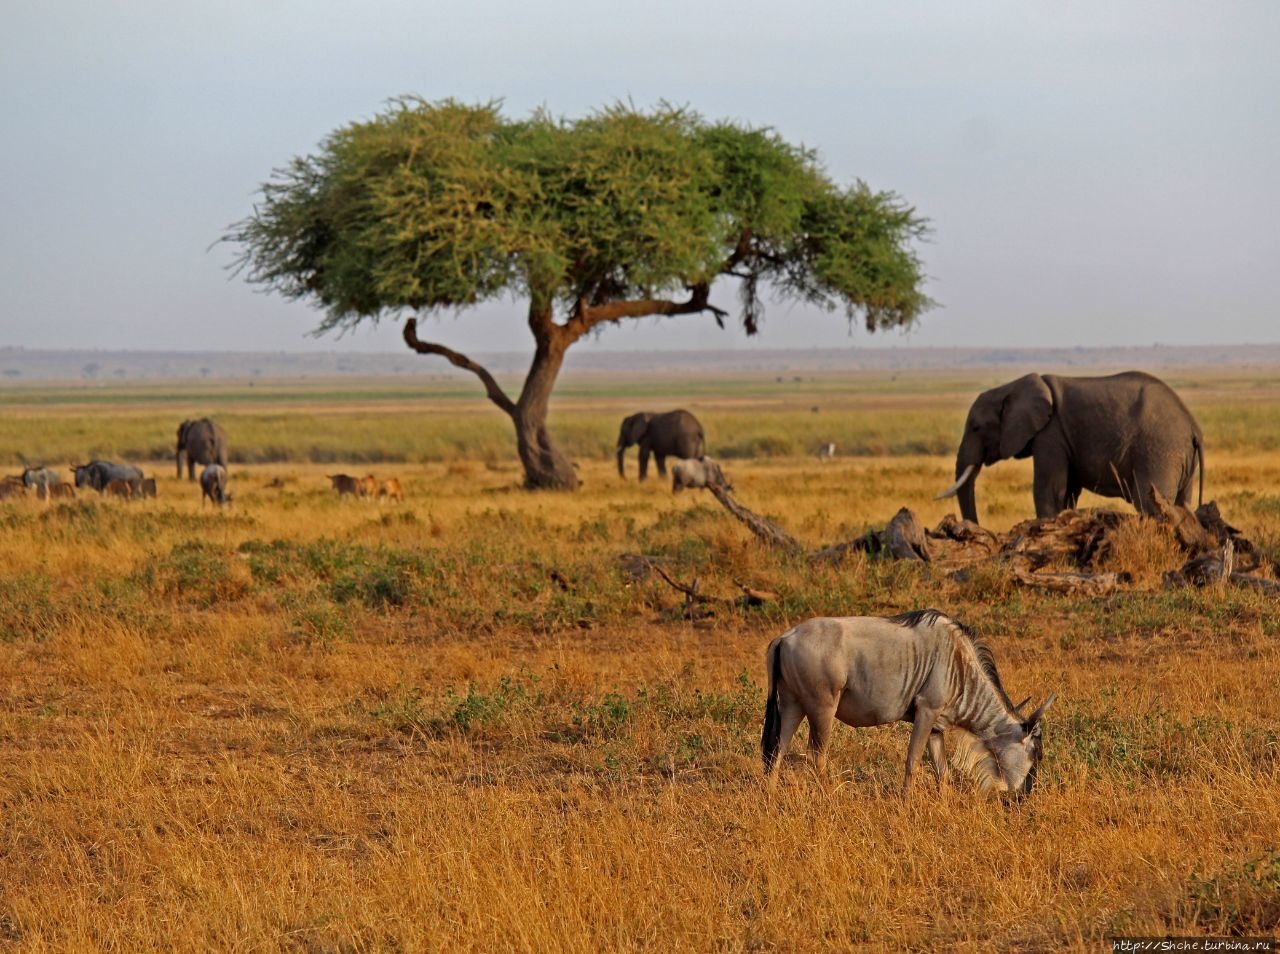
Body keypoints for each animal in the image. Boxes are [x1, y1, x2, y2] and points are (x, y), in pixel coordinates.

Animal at [942, 371, 1198, 525]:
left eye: (976, 428)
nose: (975, 528)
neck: (1012, 387)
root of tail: (1193, 426)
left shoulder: (1050, 434)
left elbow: (1048, 490)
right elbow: (1068, 493)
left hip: (1159, 451)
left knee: (1148, 502)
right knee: (1180, 503)